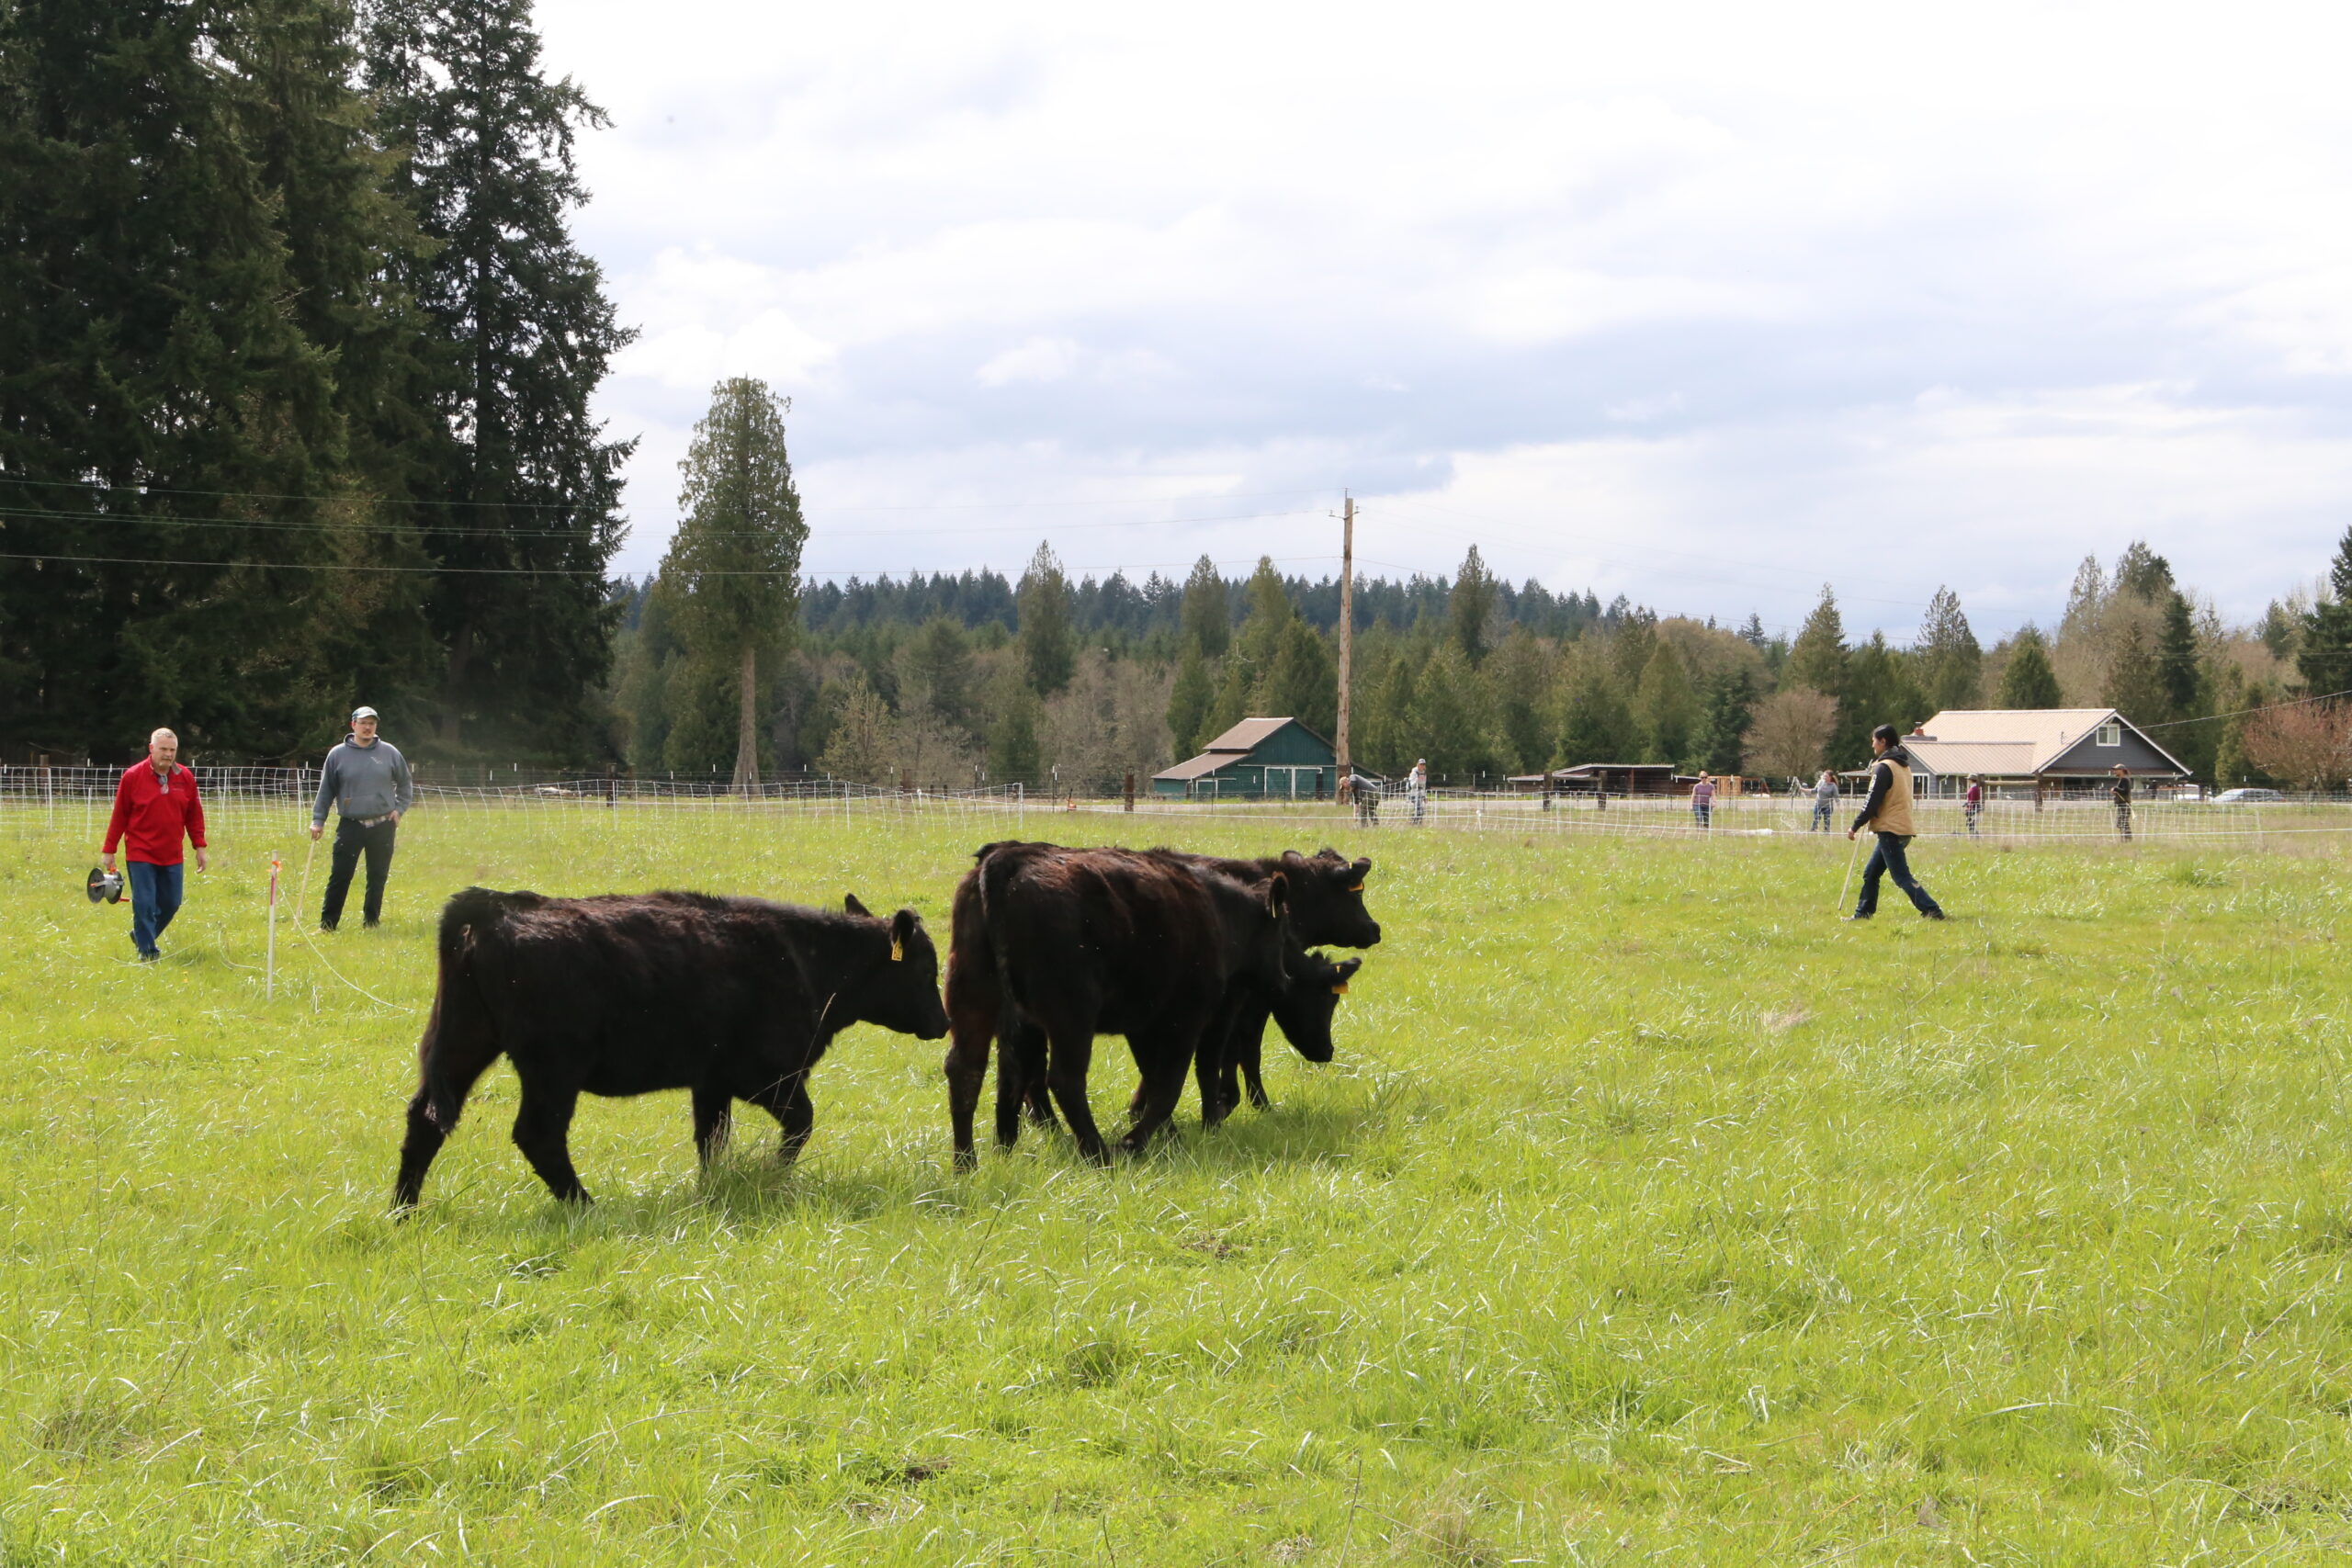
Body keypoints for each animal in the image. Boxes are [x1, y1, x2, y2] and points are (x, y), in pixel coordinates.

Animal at [393, 887, 948, 1210]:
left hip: (464, 1042)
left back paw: (403, 1210)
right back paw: (586, 1208)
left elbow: (712, 1140)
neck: (806, 959)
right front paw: (771, 1177)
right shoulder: (768, 1076)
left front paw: (714, 1190)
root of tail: (492, 908)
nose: (943, 1024)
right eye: (926, 969)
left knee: (425, 1119)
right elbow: (800, 1125)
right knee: (538, 1135)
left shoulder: (712, 1082)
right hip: (553, 1067)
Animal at [941, 843, 1292, 1167]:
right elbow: (1173, 1084)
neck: (1219, 913)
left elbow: (1154, 1079)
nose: (1285, 979)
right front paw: (1137, 1141)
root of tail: (1010, 858)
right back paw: (1099, 1154)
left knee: (969, 1070)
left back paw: (969, 1163)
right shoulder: (1187, 1018)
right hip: (1072, 1014)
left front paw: (1173, 1136)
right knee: (1065, 1080)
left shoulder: (1143, 1024)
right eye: (1281, 933)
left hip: (976, 997)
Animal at [991, 847, 1381, 1141]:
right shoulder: (1238, 1002)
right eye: (1329, 998)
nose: (1374, 928)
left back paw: (1045, 1127)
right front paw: (1239, 1104)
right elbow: (1235, 1053)